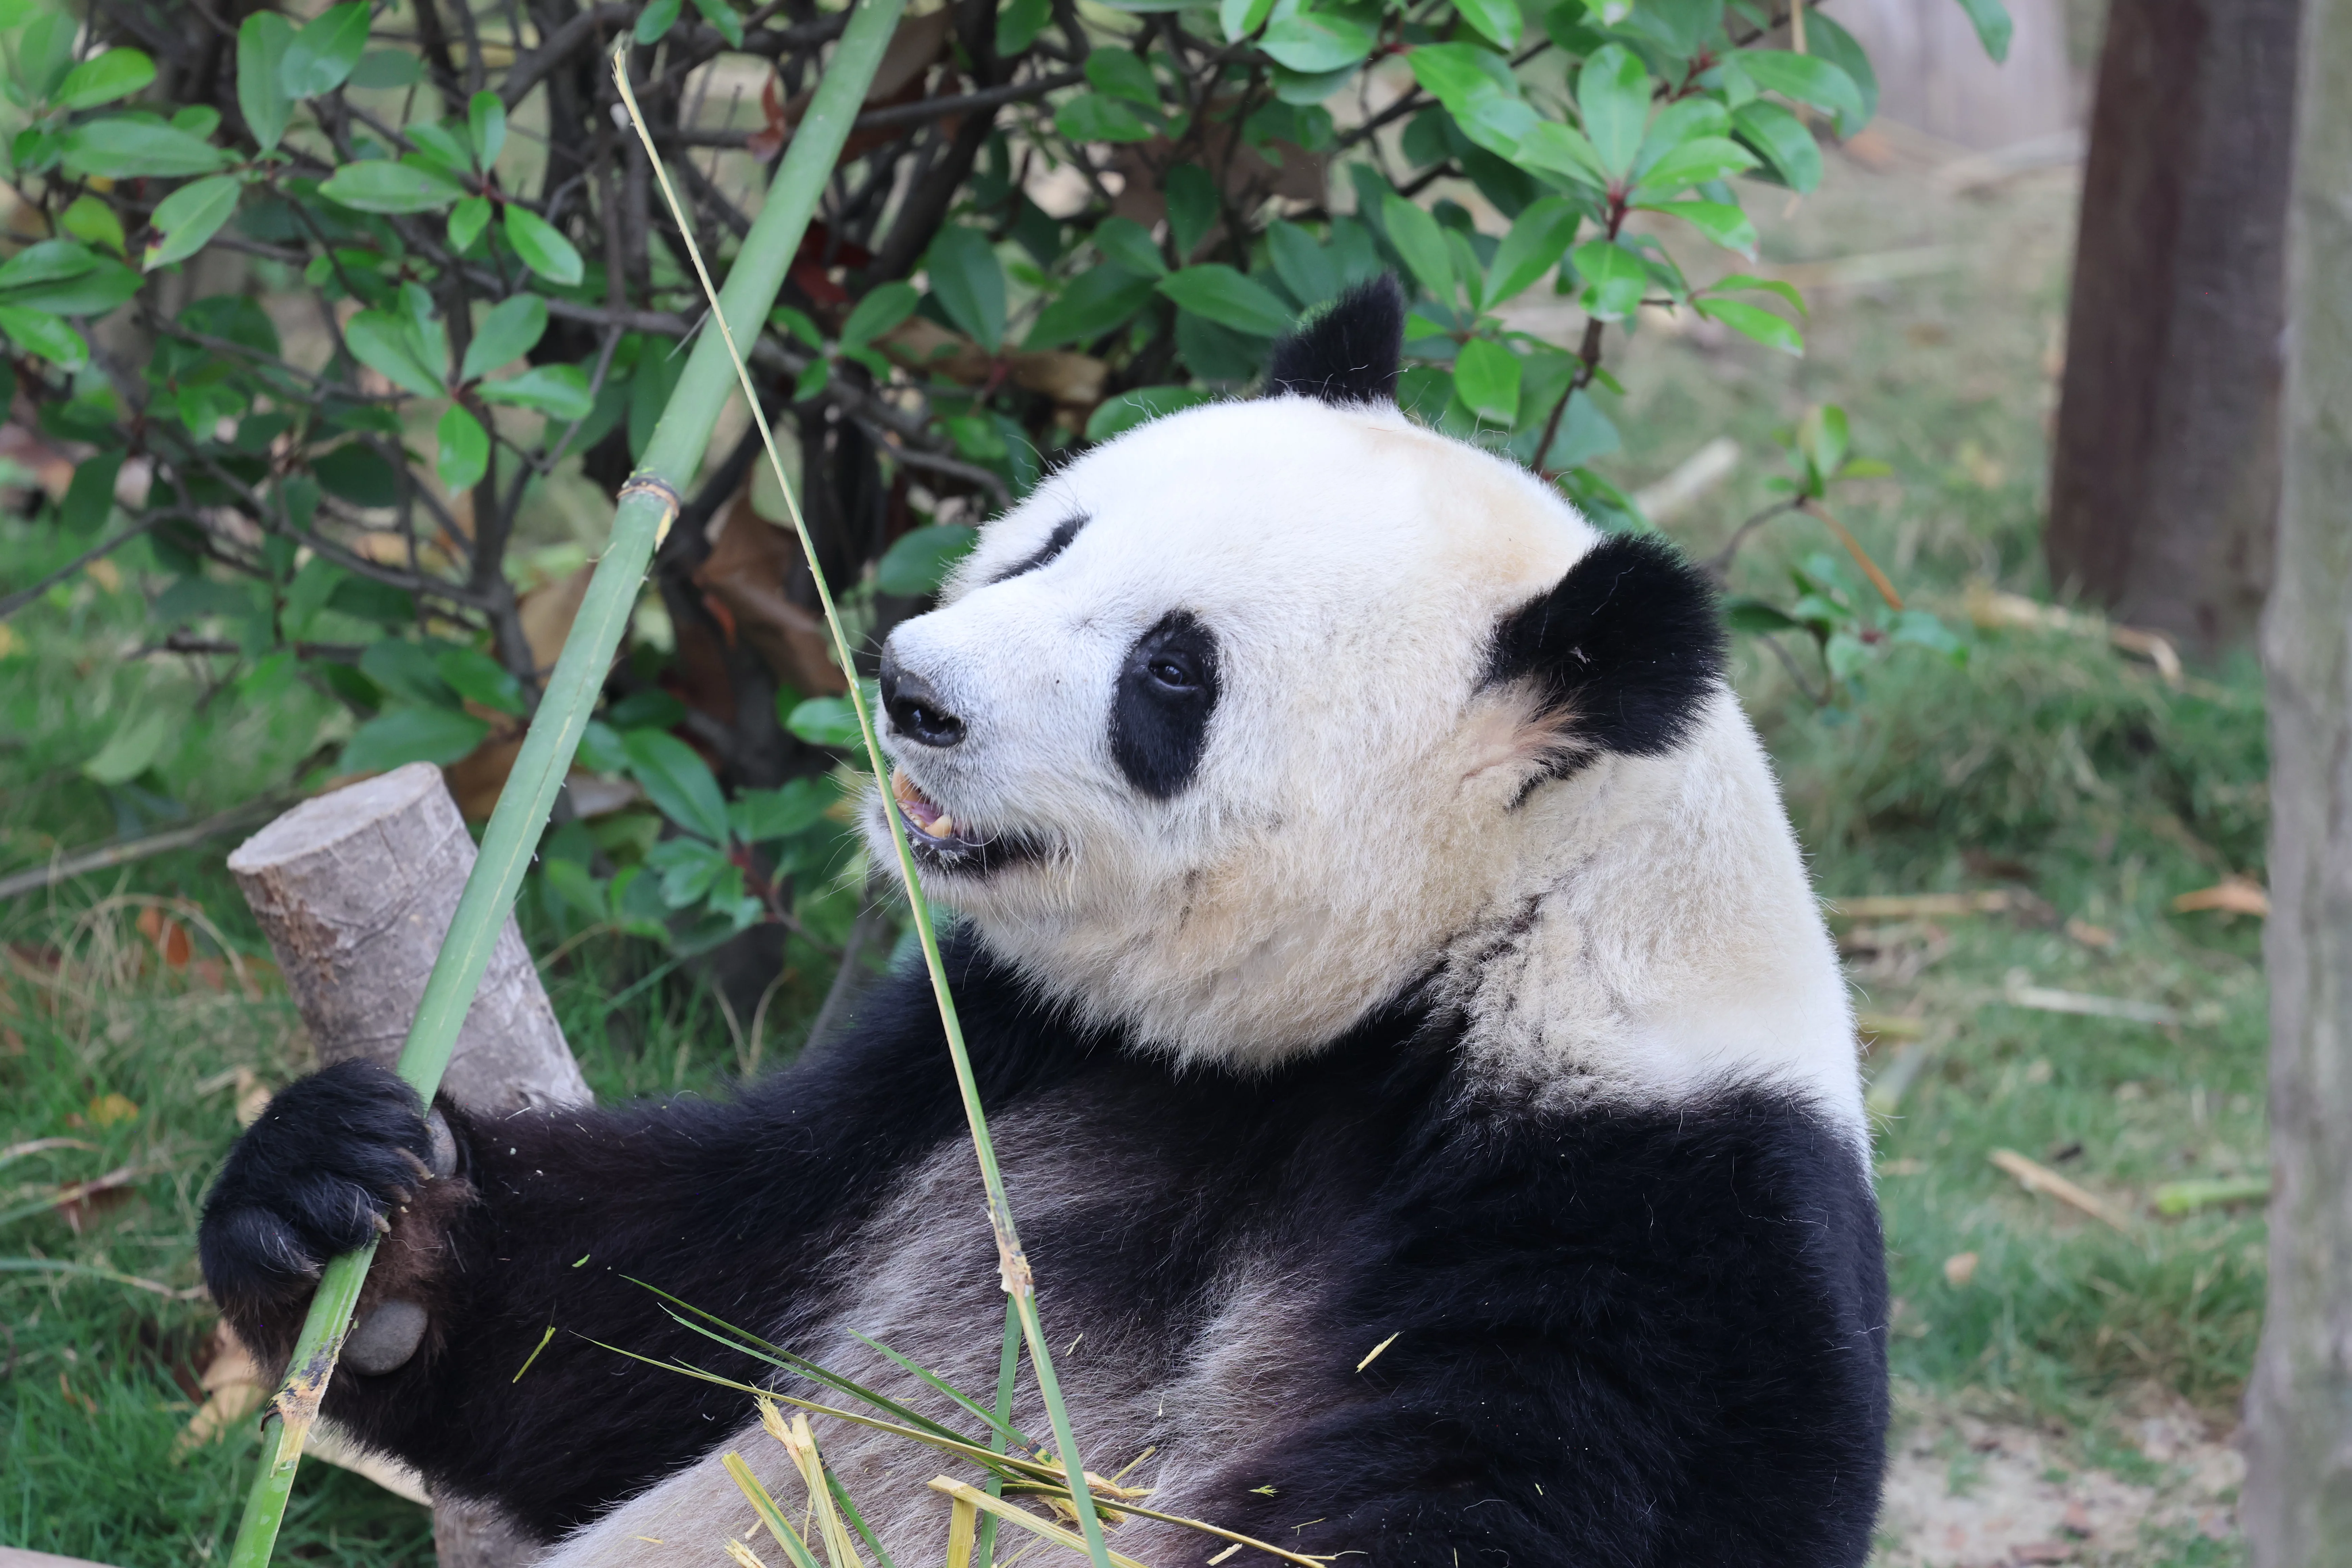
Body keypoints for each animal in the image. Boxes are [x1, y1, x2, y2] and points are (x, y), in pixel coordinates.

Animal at [199, 276, 1888, 1568]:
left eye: (1172, 672)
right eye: (1058, 536)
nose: (914, 688)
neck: (1427, 981)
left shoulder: (1649, 1229)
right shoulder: (985, 1068)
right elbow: (655, 1312)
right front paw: (348, 1205)